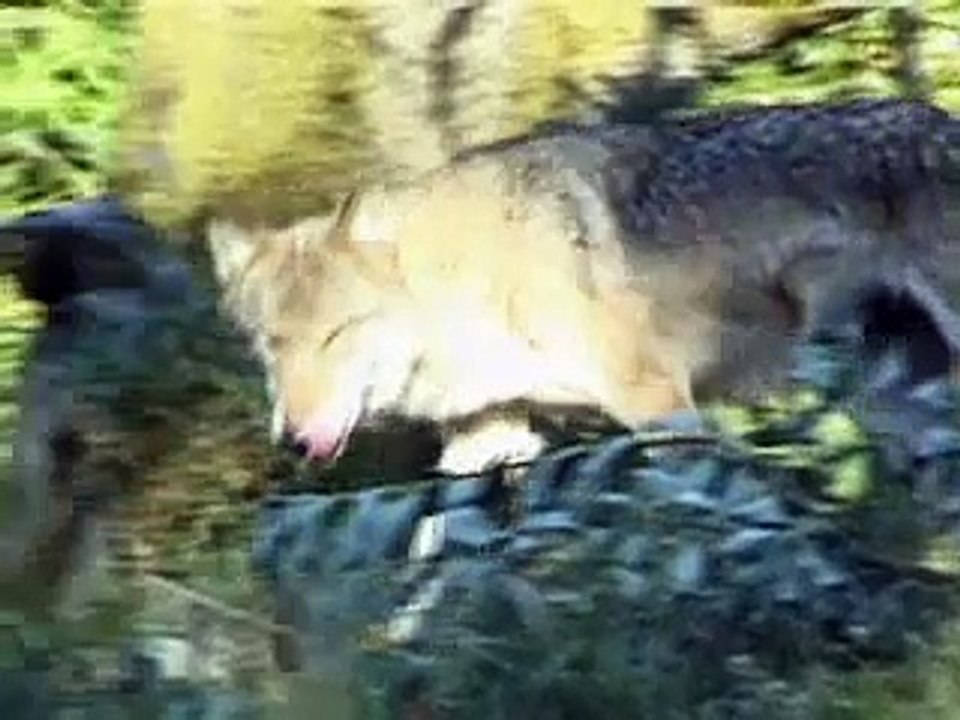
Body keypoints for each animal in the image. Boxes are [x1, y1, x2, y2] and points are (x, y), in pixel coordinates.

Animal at [209, 98, 960, 475]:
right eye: (273, 347)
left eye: (336, 335)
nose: (293, 441)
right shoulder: (488, 443)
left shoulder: (663, 405)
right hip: (897, 405)